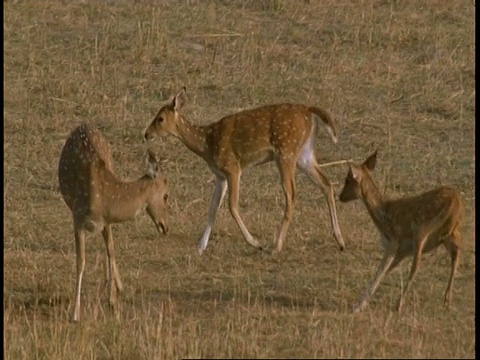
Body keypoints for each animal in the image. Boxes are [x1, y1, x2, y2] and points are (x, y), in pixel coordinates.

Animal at [58, 124, 169, 320]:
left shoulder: (106, 221)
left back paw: (118, 286)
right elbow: (81, 261)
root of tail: (83, 124)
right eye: (165, 195)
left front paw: (112, 301)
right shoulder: (77, 218)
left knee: (108, 247)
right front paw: (75, 313)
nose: (165, 226)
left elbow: (111, 251)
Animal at [143, 87, 344, 255]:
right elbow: (212, 208)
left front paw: (255, 243)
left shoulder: (233, 168)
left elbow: (232, 206)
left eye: (160, 119)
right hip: (304, 154)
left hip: (286, 152)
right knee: (326, 183)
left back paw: (276, 246)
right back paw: (340, 240)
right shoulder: (220, 176)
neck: (207, 143)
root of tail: (309, 111)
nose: (146, 134)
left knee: (292, 195)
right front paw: (200, 247)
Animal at [338, 149, 464, 312]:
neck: (383, 215)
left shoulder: (393, 241)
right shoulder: (402, 251)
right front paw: (362, 303)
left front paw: (358, 307)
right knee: (456, 256)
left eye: (347, 180)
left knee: (417, 265)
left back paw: (399, 304)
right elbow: (386, 270)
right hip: (451, 234)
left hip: (421, 230)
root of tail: (456, 202)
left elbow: (380, 271)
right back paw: (447, 300)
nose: (340, 196)